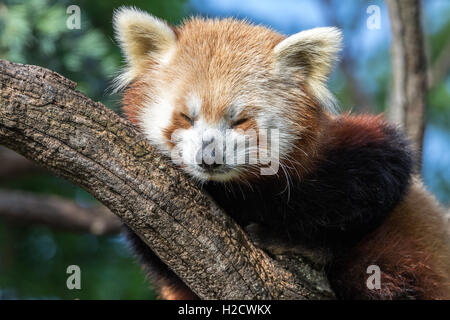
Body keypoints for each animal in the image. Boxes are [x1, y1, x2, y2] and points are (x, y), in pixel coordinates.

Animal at [112, 6, 450, 298]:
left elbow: (371, 188)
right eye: (186, 117)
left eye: (239, 120)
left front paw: (288, 236)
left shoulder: (364, 154)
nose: (209, 158)